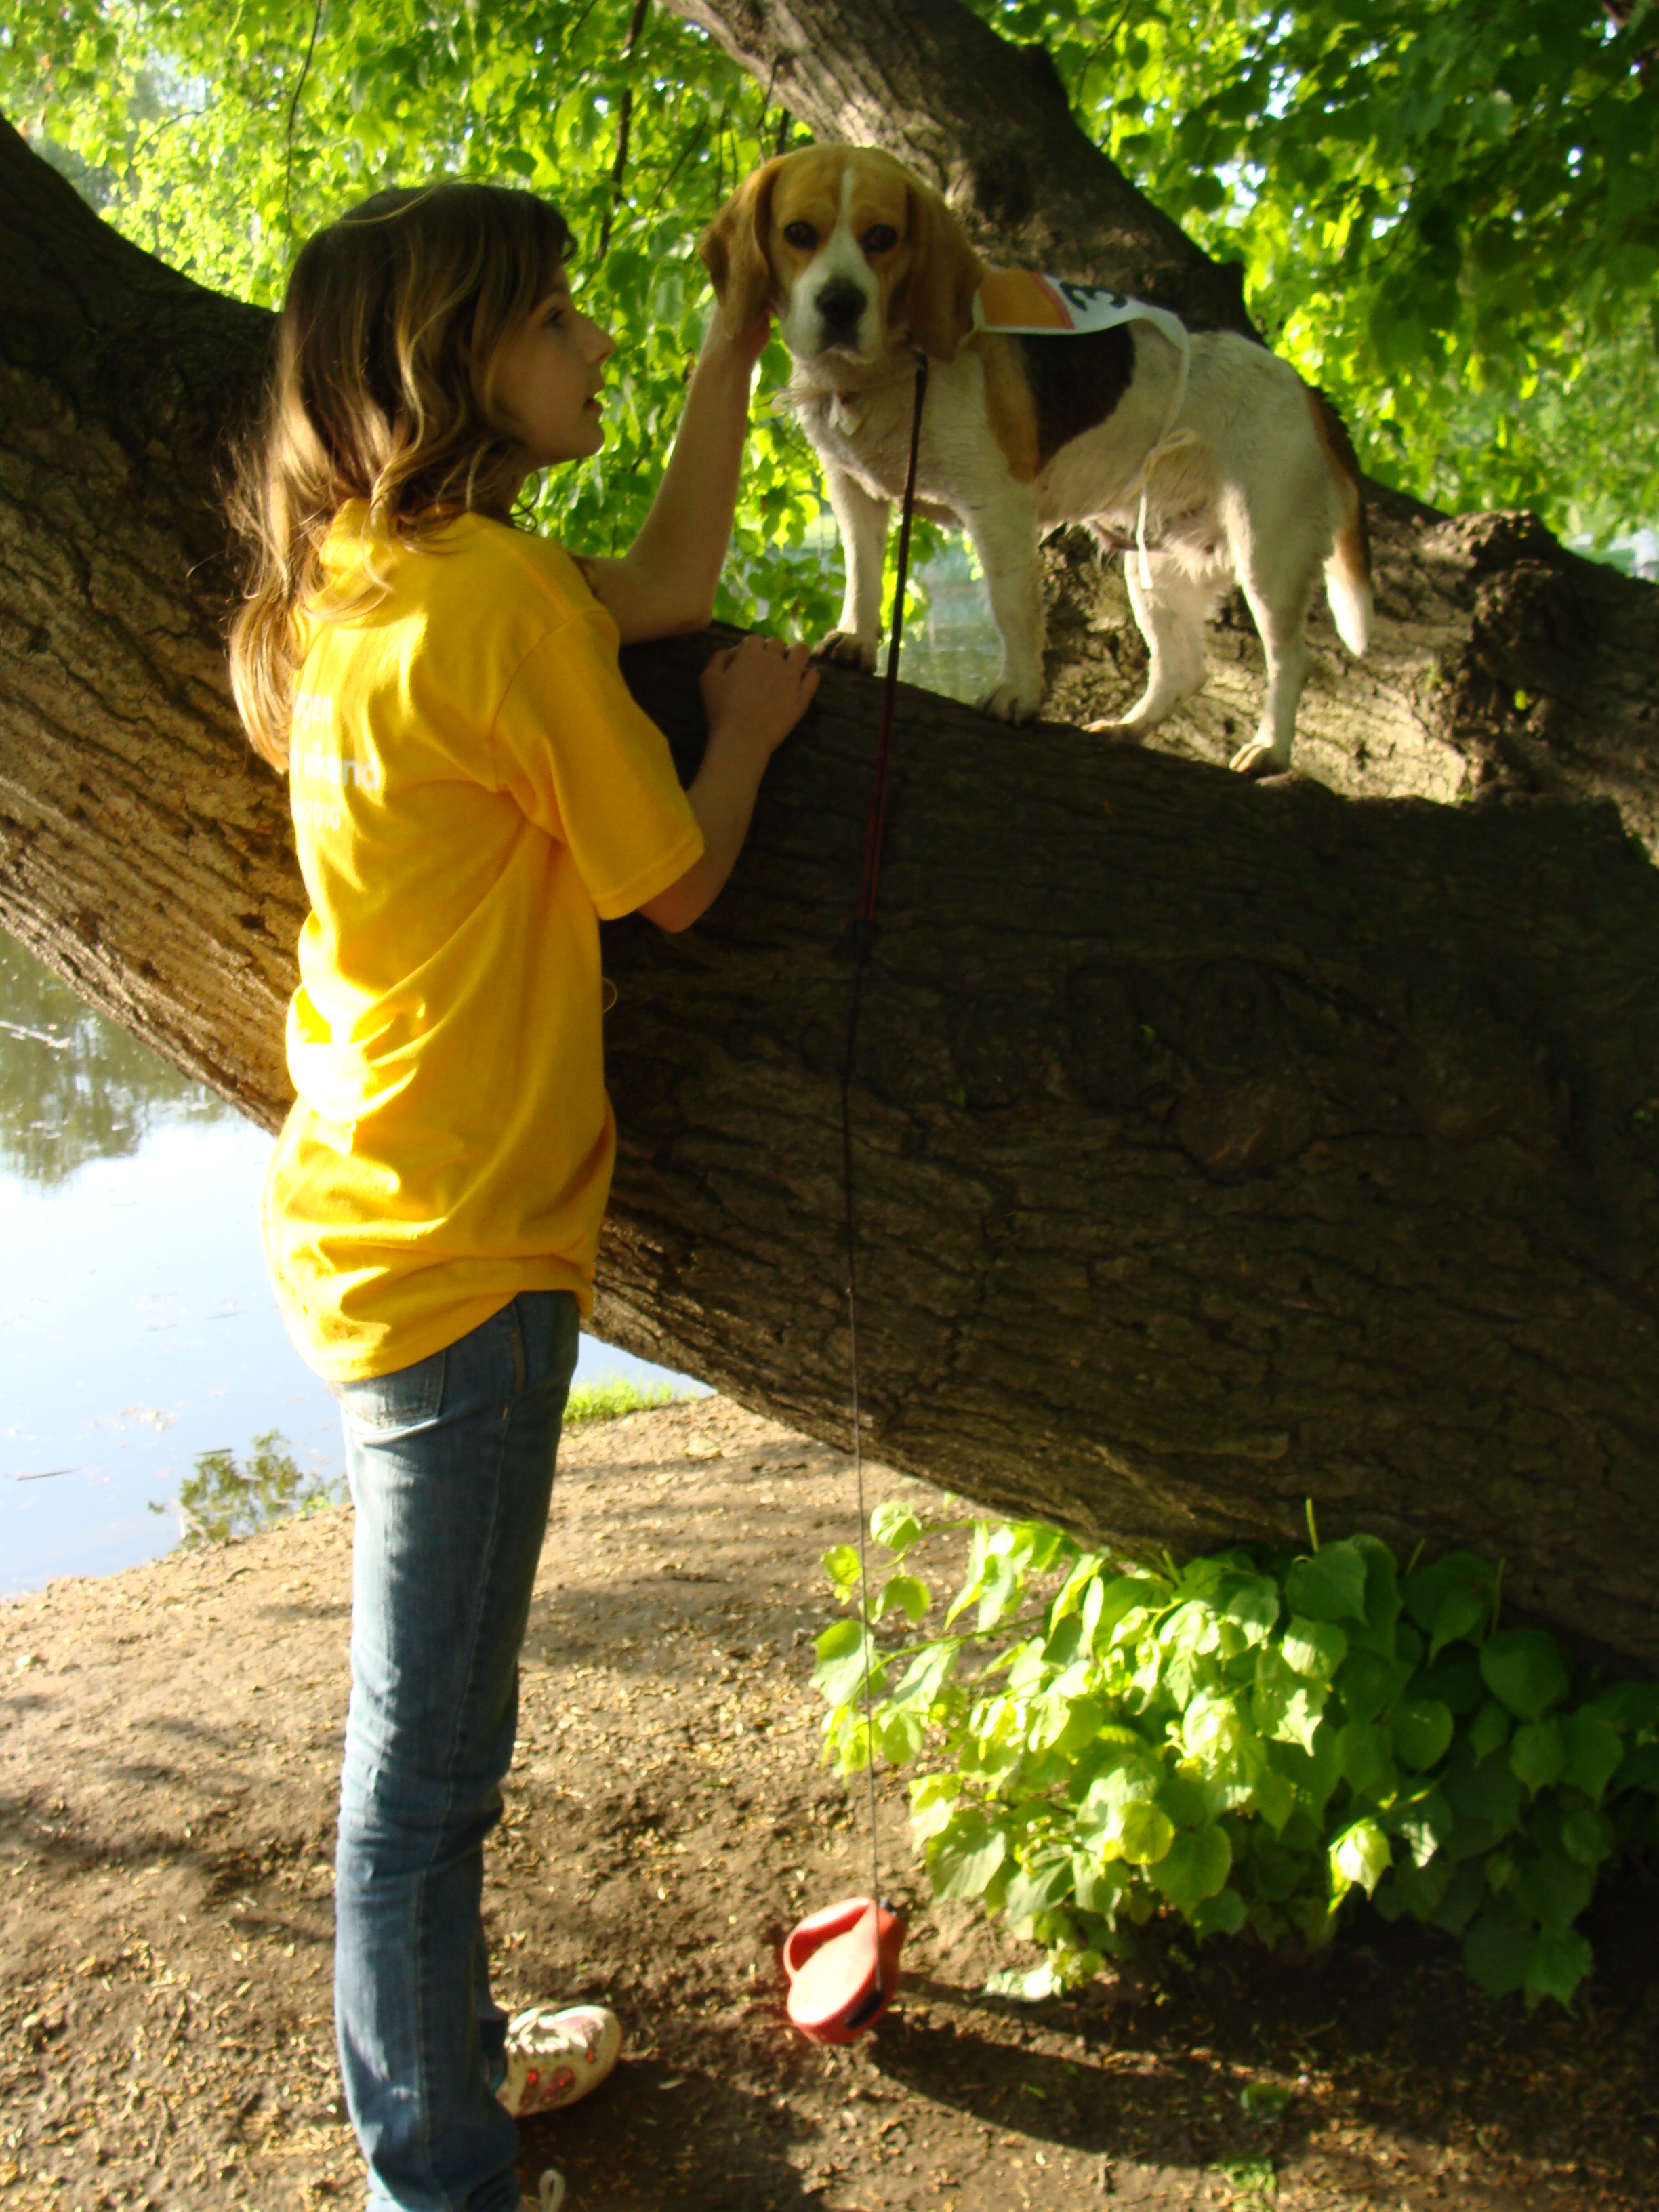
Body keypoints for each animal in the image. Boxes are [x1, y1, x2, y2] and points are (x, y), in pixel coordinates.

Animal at [703, 142, 1380, 774]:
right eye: (799, 233)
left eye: (882, 237)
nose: (840, 303)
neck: (884, 369)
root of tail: (1307, 391)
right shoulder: (853, 490)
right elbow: (864, 572)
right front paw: (855, 640)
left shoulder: (996, 502)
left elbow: (1010, 606)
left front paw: (1018, 694)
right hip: (1157, 563)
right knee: (1183, 668)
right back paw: (1130, 727)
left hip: (1268, 551)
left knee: (1292, 659)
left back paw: (1270, 749)